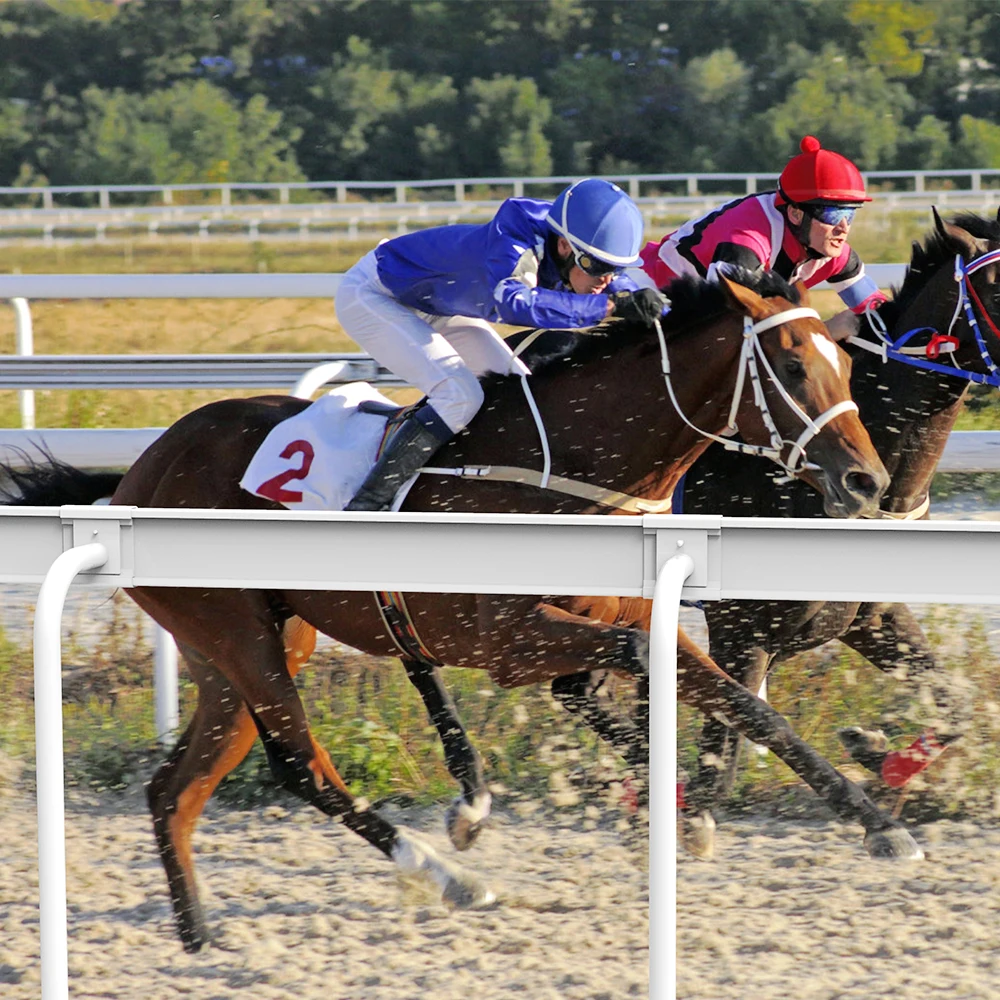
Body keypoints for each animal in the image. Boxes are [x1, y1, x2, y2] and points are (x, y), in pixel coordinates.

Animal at [4, 270, 890, 951]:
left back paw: (199, 937)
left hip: (252, 644)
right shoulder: (509, 641)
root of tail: (140, 469)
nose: (868, 482)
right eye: (790, 364)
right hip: (237, 633)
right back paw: (453, 878)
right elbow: (648, 673)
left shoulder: (633, 614)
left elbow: (740, 700)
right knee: (300, 767)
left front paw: (875, 822)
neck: (577, 465)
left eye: (843, 362)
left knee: (174, 789)